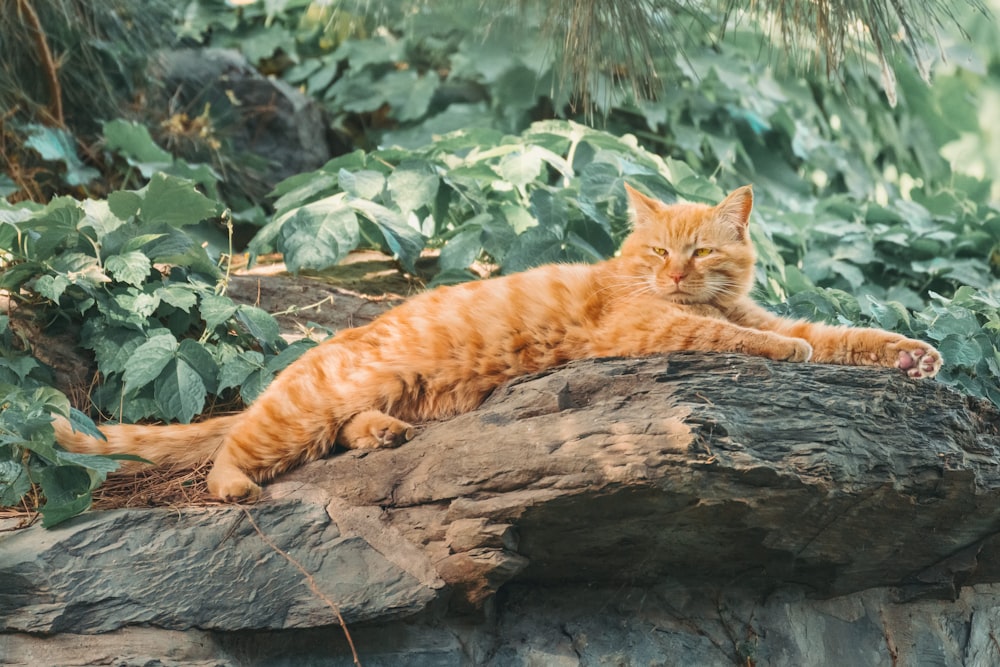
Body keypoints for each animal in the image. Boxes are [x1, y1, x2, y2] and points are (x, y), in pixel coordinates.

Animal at [54, 185, 944, 498]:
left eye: (700, 251)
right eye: (660, 251)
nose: (675, 272)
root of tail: (309, 354)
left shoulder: (761, 313)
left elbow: (839, 333)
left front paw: (912, 353)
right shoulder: (648, 325)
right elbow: (729, 335)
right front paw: (786, 356)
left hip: (374, 398)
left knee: (341, 429)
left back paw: (381, 434)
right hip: (293, 414)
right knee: (230, 447)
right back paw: (238, 486)